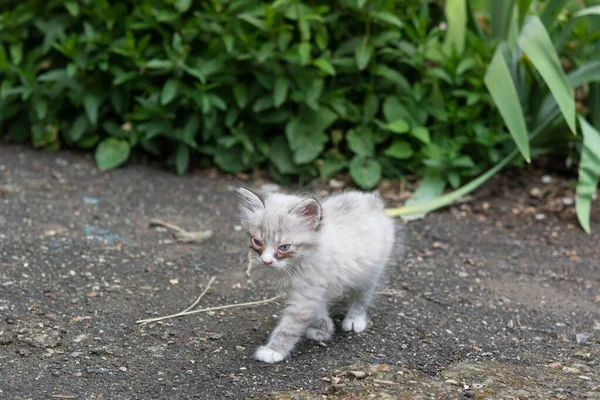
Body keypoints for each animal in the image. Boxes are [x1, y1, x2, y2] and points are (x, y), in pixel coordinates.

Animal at [236, 186, 398, 364]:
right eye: (257, 242)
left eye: (284, 247)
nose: (266, 261)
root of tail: (370, 199)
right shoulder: (311, 292)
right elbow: (318, 312)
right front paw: (323, 329)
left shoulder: (305, 297)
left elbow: (289, 327)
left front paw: (273, 351)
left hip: (370, 274)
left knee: (362, 297)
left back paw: (355, 320)